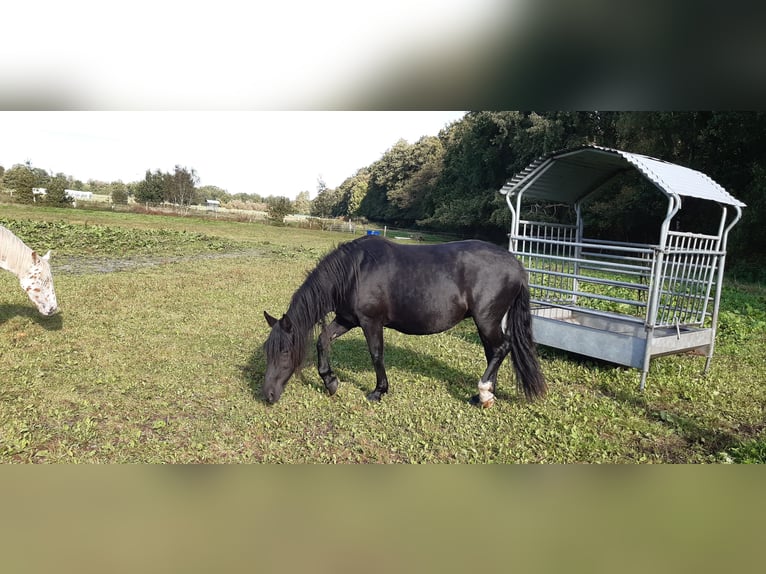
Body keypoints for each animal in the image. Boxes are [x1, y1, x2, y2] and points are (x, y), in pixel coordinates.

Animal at [264, 236, 544, 408]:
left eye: (285, 352)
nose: (267, 395)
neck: (355, 271)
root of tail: (515, 265)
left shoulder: (370, 322)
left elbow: (376, 354)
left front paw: (379, 391)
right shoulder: (347, 319)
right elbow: (323, 341)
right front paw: (330, 382)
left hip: (486, 319)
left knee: (500, 348)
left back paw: (485, 391)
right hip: (488, 322)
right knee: (493, 351)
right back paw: (483, 396)